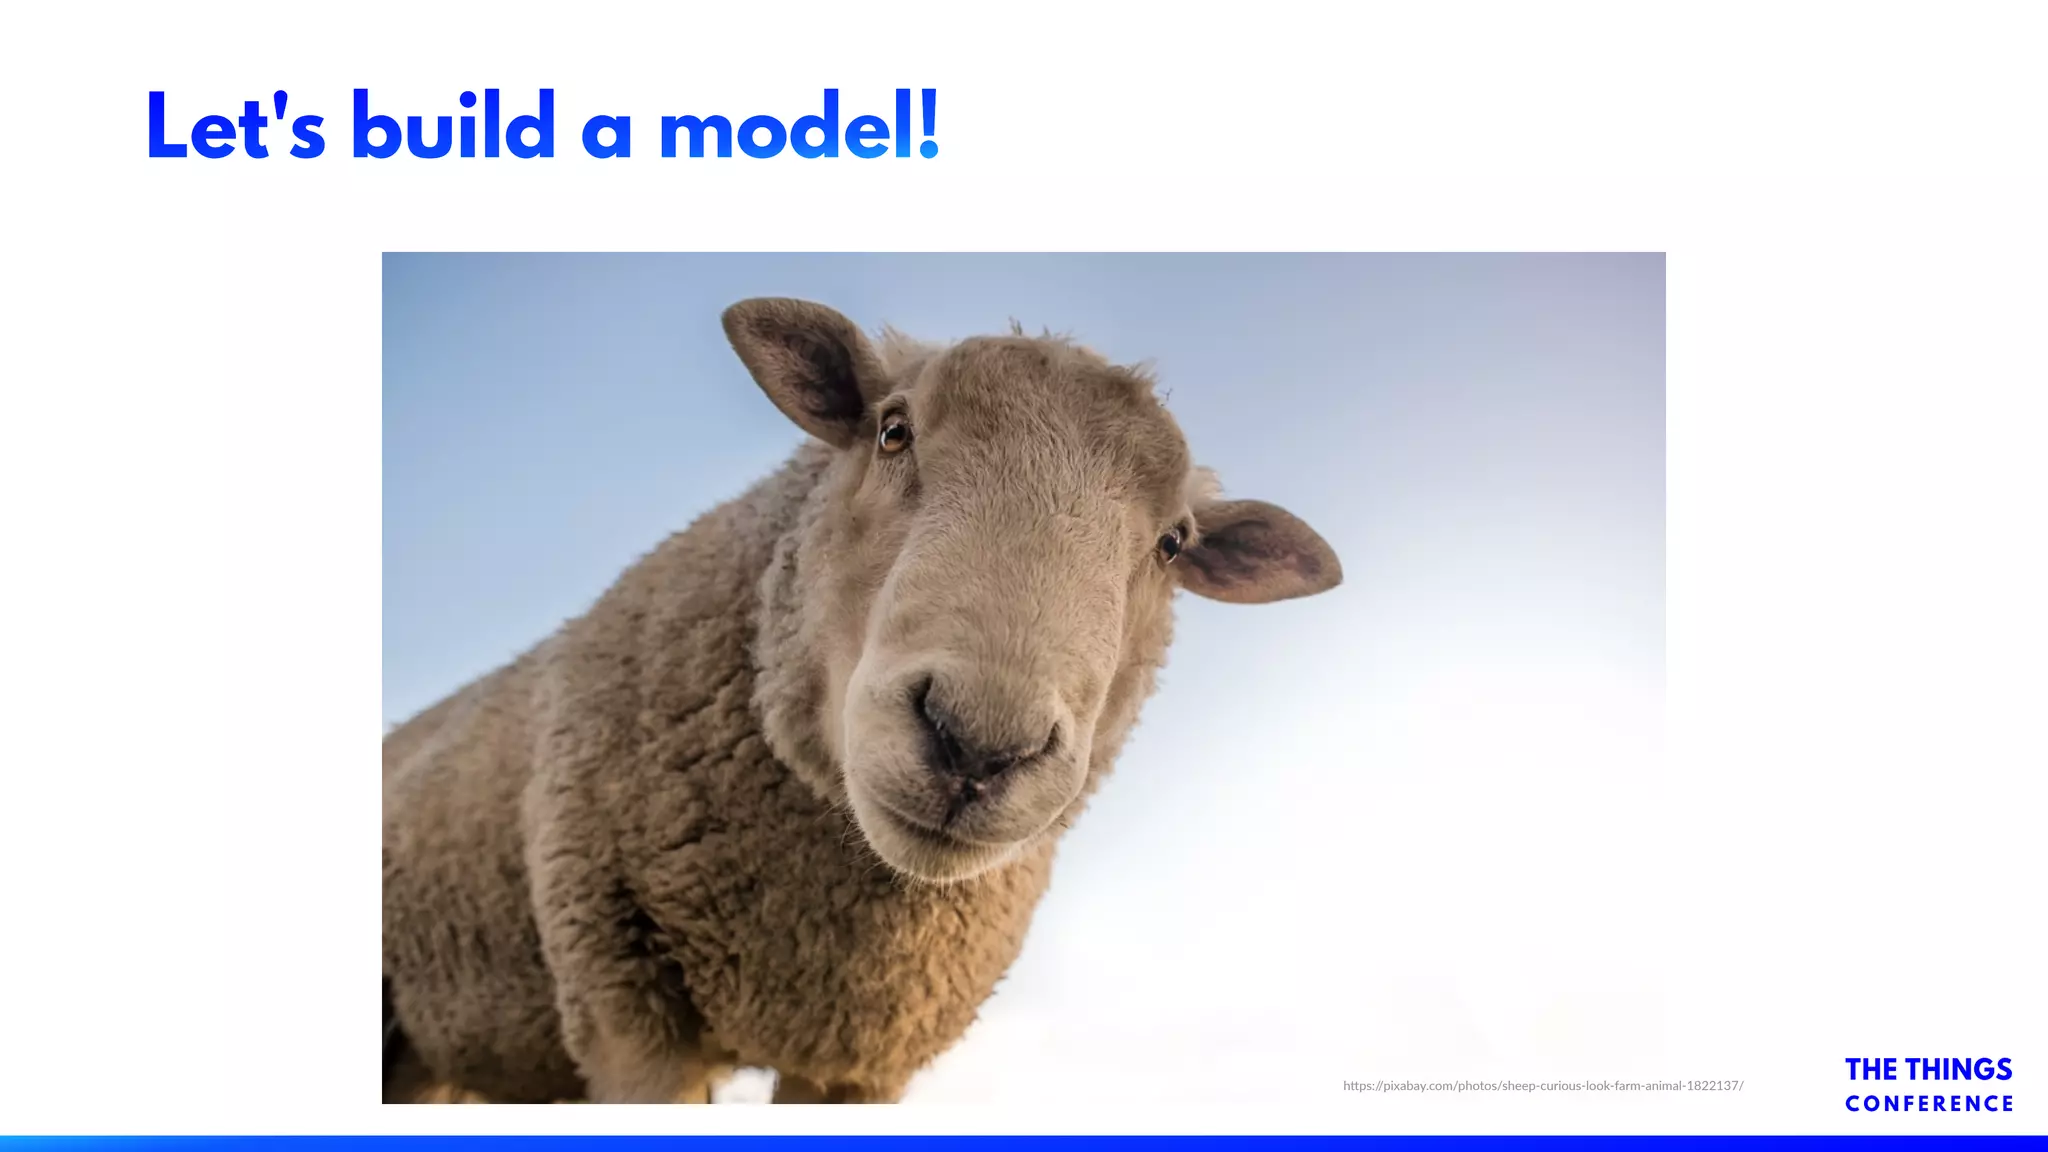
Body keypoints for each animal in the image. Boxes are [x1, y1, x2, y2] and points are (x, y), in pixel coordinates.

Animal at [382, 298, 1344, 1103]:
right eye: (892, 430)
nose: (977, 746)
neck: (818, 930)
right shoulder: (627, 1003)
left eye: (1174, 543)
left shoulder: (861, 1057)